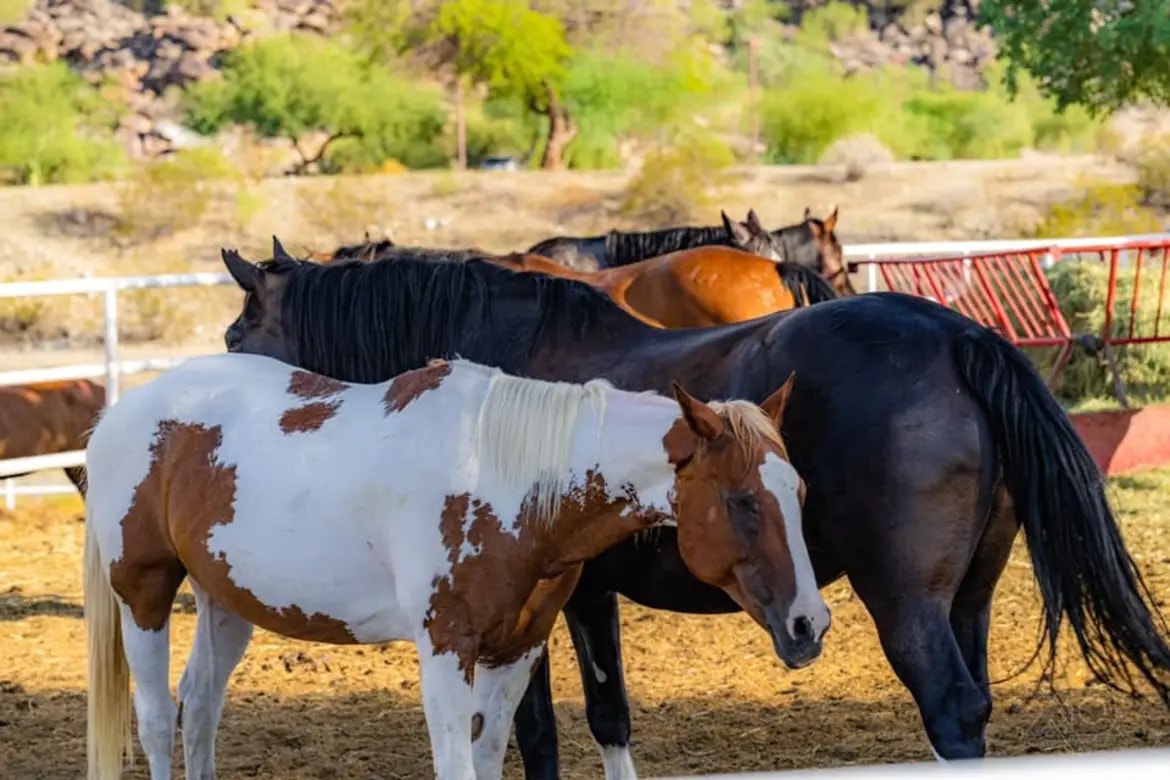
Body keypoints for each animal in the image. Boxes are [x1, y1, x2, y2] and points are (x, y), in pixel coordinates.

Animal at [82, 351, 827, 780]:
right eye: (742, 501)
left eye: (799, 491)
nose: (809, 625)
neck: (508, 476)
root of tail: (119, 414)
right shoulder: (445, 649)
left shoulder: (516, 650)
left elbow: (489, 755)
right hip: (143, 595)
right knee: (157, 718)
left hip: (227, 604)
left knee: (200, 708)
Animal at [220, 243, 1170, 779]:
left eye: (237, 335)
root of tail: (960, 336)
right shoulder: (581, 596)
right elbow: (604, 717)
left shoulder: (532, 604)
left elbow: (536, 735)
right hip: (968, 600)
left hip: (908, 607)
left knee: (948, 710)